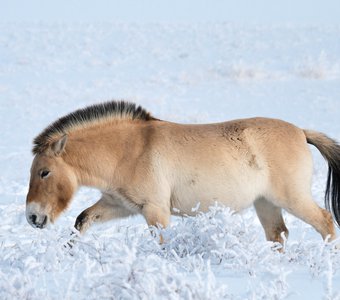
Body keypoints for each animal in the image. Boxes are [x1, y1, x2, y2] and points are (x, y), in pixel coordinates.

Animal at [24, 101, 340, 246]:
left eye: (44, 172)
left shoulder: (155, 209)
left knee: (325, 222)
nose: (32, 217)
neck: (128, 150)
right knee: (278, 235)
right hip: (266, 204)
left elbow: (161, 243)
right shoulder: (120, 204)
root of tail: (301, 132)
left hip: (292, 198)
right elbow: (82, 220)